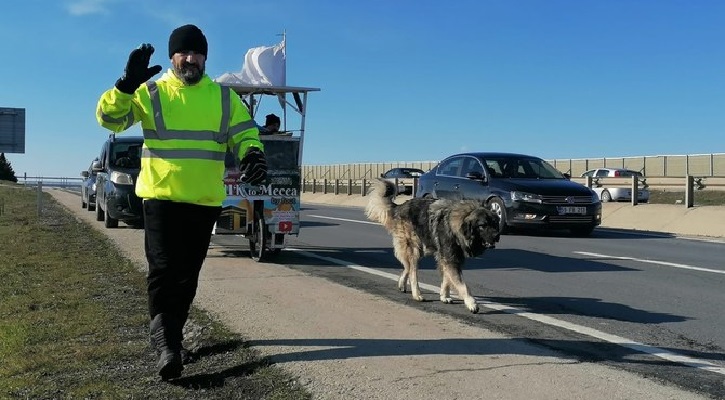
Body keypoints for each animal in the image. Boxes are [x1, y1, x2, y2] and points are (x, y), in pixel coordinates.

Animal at [364, 178, 500, 312]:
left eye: (494, 224)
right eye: (482, 226)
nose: (497, 236)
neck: (456, 225)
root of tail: (401, 206)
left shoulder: (449, 258)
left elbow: (447, 278)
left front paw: (444, 296)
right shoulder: (450, 259)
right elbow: (462, 285)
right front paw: (471, 302)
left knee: (407, 266)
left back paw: (402, 283)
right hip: (414, 249)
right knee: (413, 272)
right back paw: (417, 294)